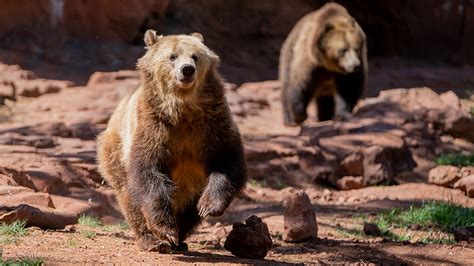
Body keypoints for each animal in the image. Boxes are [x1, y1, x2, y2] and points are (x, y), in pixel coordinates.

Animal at [98, 30, 250, 252]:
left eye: (195, 56)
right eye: (172, 56)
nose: (187, 69)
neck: (182, 109)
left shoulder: (212, 124)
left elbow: (227, 160)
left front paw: (208, 206)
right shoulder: (154, 126)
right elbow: (148, 169)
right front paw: (165, 228)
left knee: (189, 208)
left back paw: (180, 239)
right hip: (115, 152)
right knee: (129, 196)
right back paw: (154, 240)